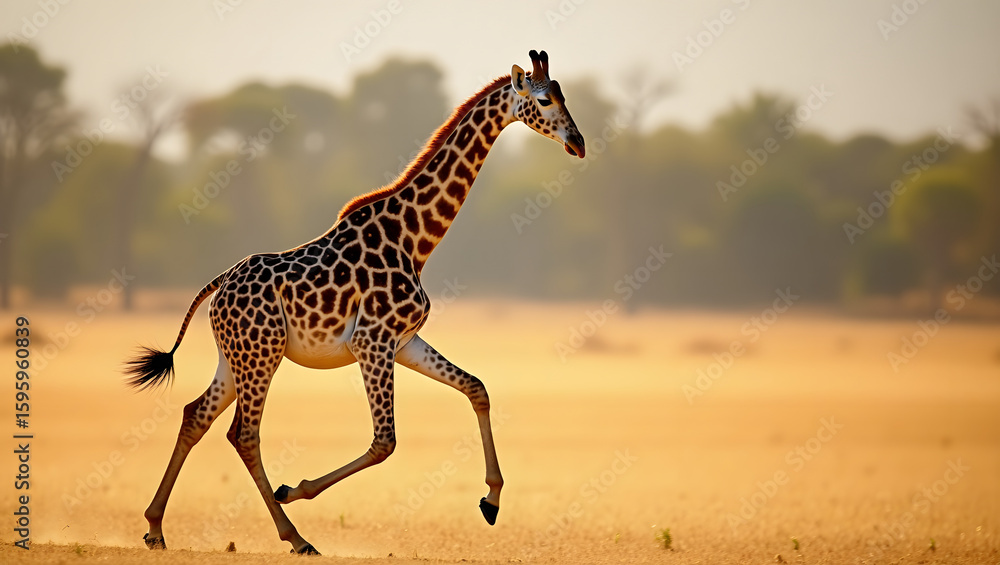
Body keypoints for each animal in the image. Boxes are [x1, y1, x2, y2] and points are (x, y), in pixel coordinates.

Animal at [126, 50, 585, 555]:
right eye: (544, 100)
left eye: (564, 94)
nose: (578, 143)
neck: (414, 239)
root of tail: (218, 286)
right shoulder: (371, 341)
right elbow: (385, 441)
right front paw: (296, 489)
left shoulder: (403, 341)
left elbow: (476, 388)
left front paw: (491, 501)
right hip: (261, 355)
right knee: (244, 434)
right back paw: (296, 537)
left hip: (238, 357)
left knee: (196, 416)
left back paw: (155, 527)